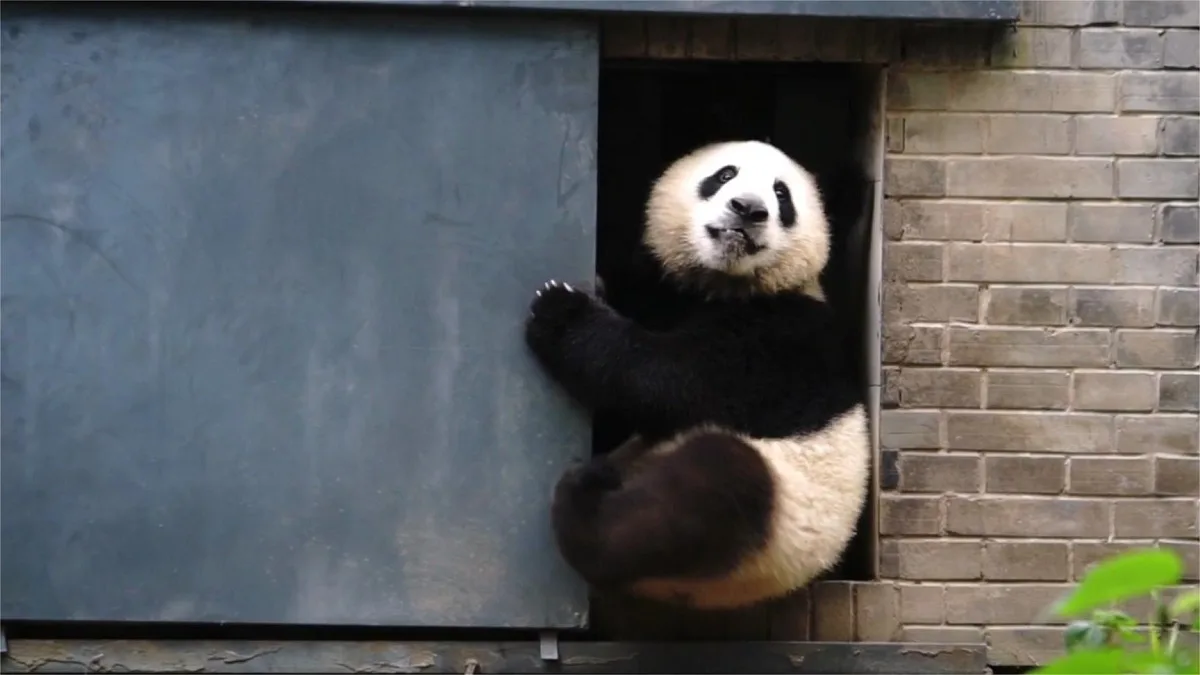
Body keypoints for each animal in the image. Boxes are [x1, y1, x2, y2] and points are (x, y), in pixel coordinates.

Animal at [523, 139, 870, 610]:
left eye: (781, 195)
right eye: (725, 175)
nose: (748, 209)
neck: (721, 283)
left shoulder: (783, 339)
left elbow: (669, 381)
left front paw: (561, 313)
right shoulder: (663, 293)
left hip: (779, 524)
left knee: (713, 487)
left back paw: (584, 503)